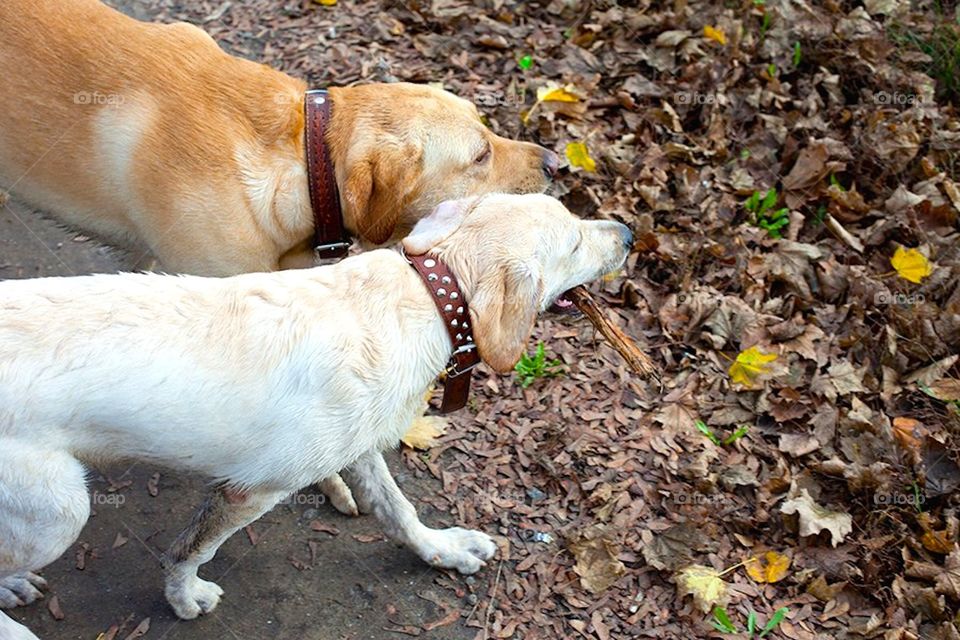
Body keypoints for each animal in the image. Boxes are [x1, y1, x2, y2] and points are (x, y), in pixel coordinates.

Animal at [0, 195, 632, 640]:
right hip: (60, 511)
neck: (421, 296)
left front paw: (442, 551)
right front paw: (184, 599)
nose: (628, 234)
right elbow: (190, 552)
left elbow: (398, 511)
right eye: (575, 240)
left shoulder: (360, 448)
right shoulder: (249, 491)